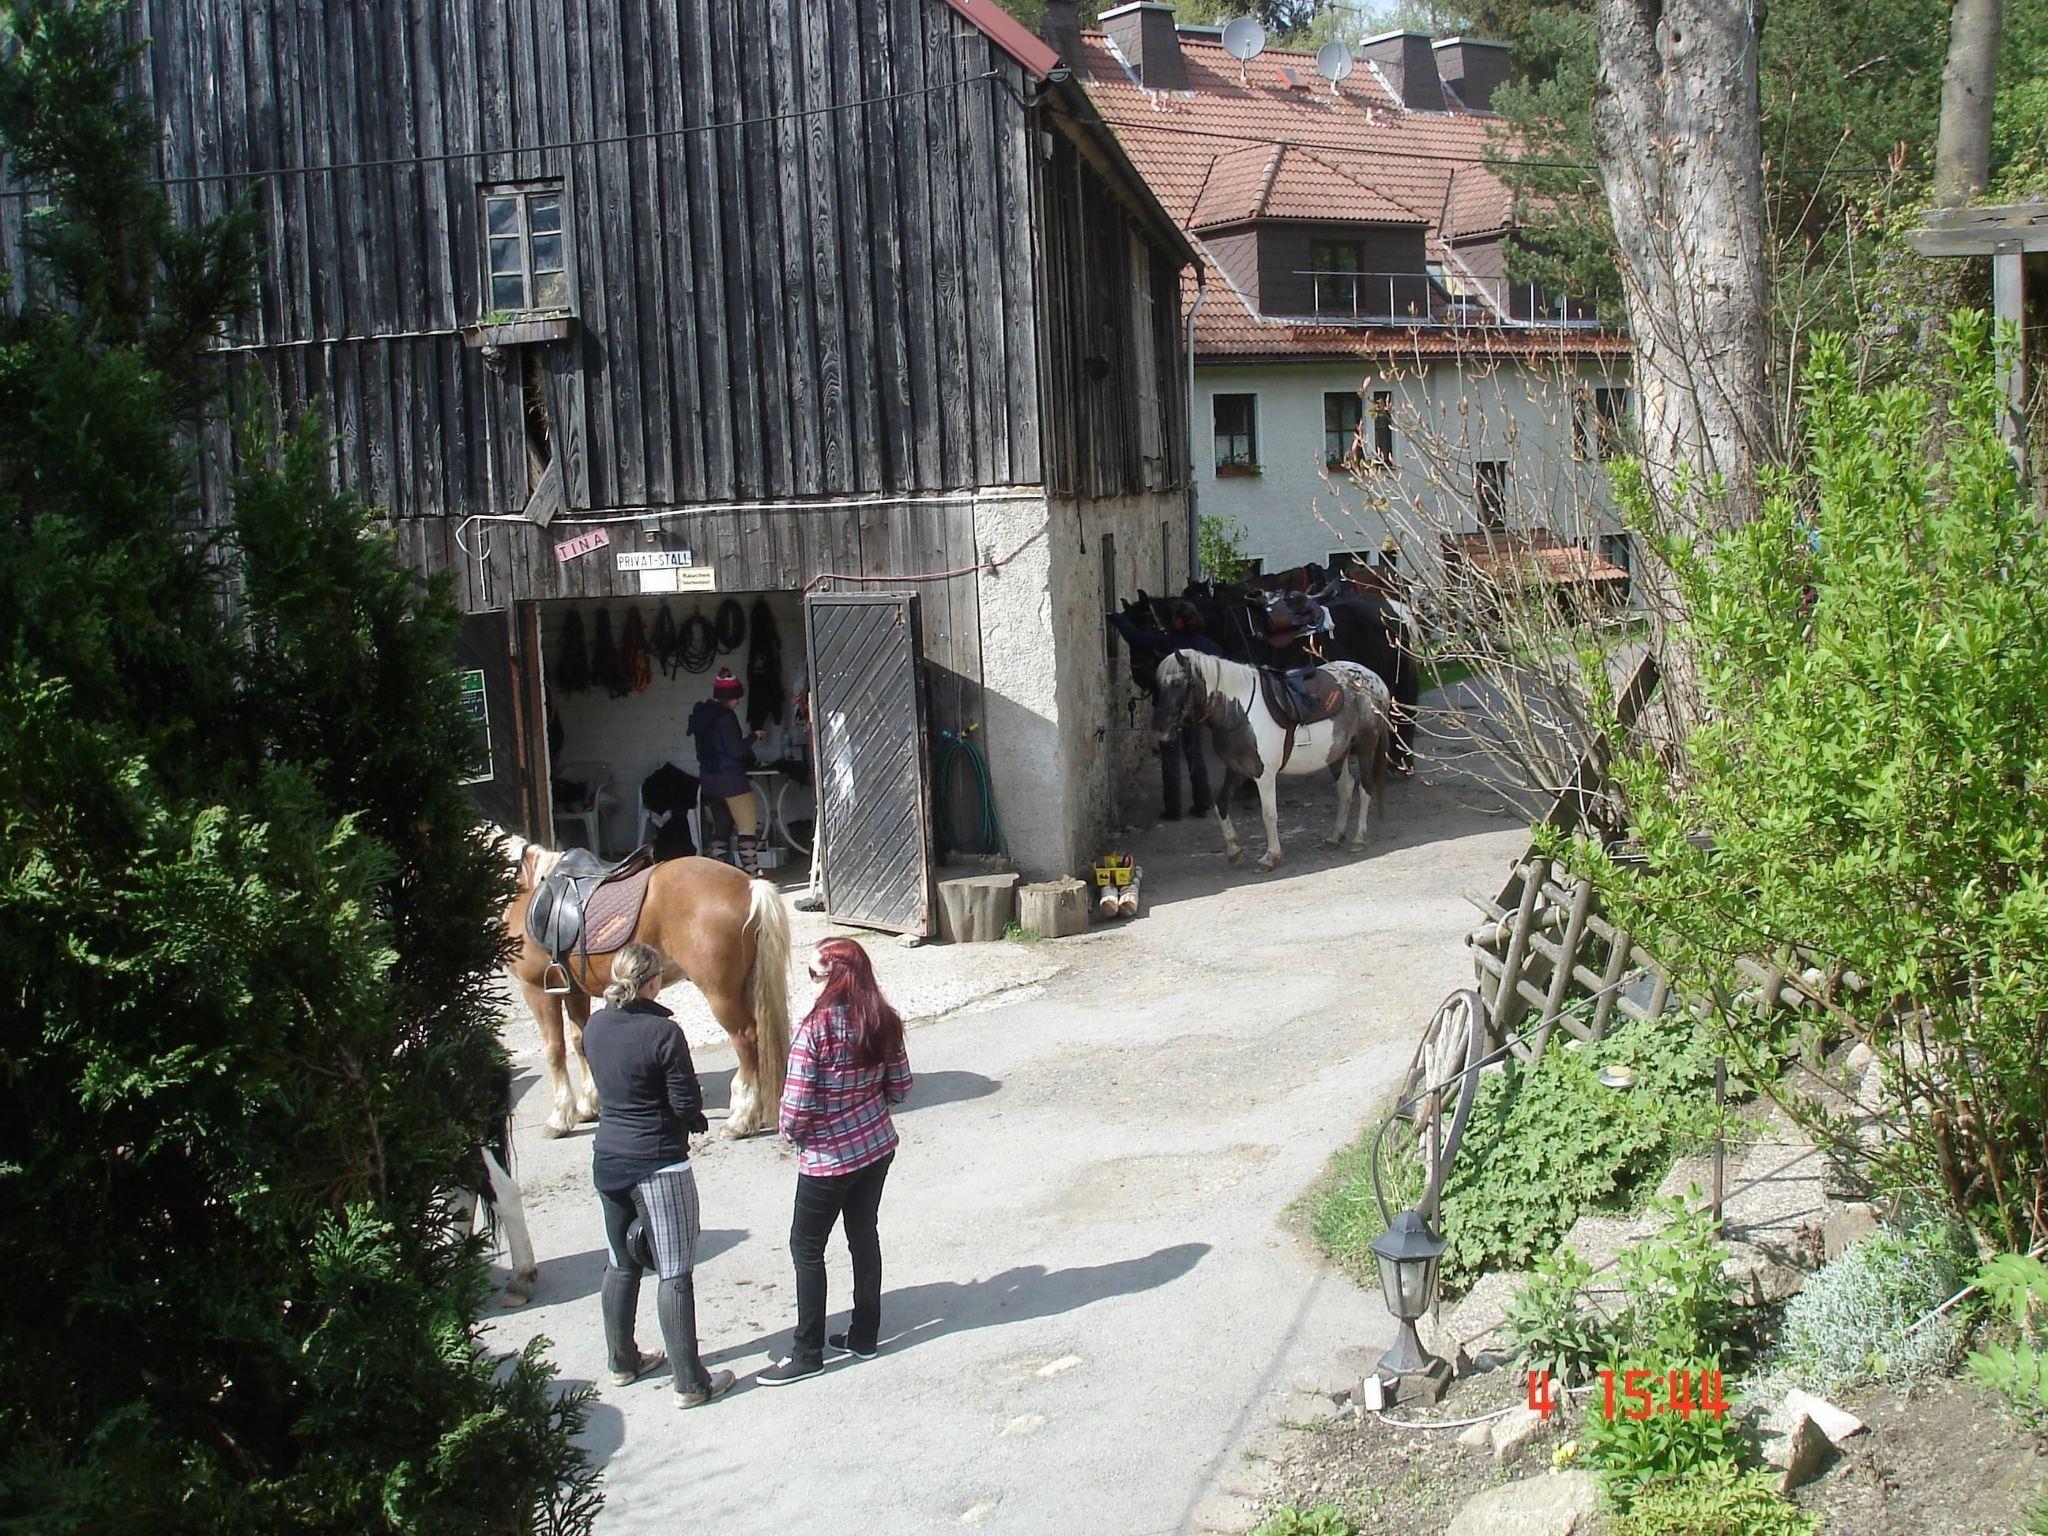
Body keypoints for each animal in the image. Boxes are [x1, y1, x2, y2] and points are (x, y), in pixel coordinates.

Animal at [503, 842, 793, 1139]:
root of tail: (748, 885)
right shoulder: (575, 992)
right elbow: (579, 1042)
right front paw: (587, 1107)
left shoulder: (537, 991)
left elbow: (554, 1050)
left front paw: (559, 1118)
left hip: (721, 995)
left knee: (746, 1038)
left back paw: (740, 1119)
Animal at [1150, 649, 1396, 871]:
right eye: (1158, 685)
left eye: (1179, 683)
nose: (1159, 731)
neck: (1238, 710)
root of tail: (1375, 680)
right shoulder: (1237, 769)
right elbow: (1220, 805)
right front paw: (1233, 850)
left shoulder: (1264, 775)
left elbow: (1268, 814)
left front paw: (1270, 857)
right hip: (1337, 752)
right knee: (1345, 788)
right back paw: (1335, 837)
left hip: (1365, 744)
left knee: (1365, 787)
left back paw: (1359, 839)